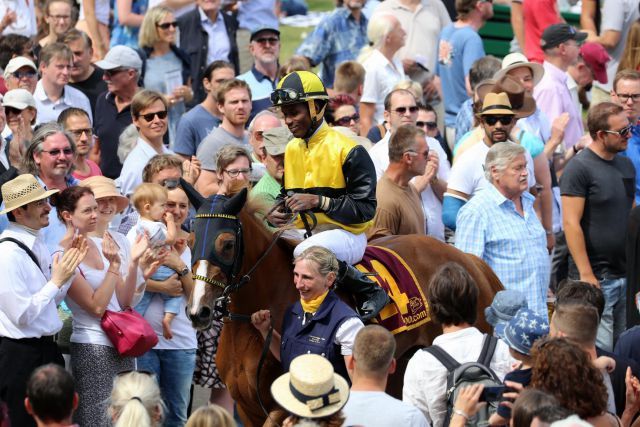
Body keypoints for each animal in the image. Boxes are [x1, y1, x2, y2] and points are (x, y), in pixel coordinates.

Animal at [181, 185, 504, 427]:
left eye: (226, 244)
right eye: (190, 240)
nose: (199, 311)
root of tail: (467, 259)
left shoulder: (286, 406)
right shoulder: (247, 408)